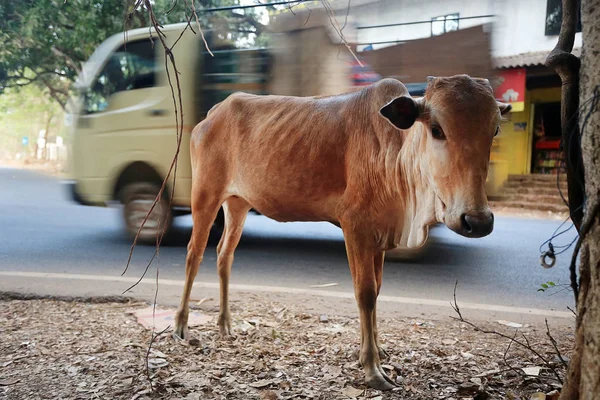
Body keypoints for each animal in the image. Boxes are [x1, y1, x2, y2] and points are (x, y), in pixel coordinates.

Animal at [173, 75, 510, 390]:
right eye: (437, 129)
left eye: (494, 130)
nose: (477, 220)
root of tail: (212, 114)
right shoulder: (355, 226)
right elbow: (366, 293)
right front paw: (372, 368)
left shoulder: (380, 236)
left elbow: (378, 289)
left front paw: (377, 350)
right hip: (205, 194)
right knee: (194, 254)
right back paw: (181, 325)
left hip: (237, 203)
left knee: (224, 255)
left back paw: (225, 324)